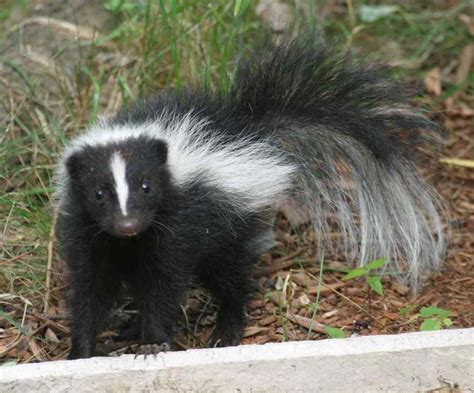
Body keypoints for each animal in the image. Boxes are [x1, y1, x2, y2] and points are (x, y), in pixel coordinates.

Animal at [54, 36, 444, 358]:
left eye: (147, 186)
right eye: (99, 193)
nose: (128, 223)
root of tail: (248, 129)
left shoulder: (176, 223)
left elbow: (164, 285)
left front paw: (153, 342)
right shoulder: (90, 233)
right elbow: (91, 288)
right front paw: (82, 350)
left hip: (231, 224)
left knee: (232, 279)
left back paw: (225, 331)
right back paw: (131, 328)